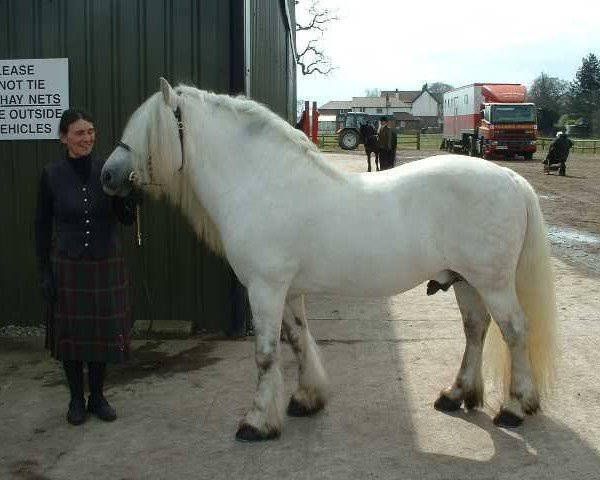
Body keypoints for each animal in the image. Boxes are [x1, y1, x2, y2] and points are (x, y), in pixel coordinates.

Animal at [102, 79, 556, 442]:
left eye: (146, 129)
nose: (107, 175)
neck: (262, 182)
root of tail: (511, 179)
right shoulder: (287, 291)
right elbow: (298, 341)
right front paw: (306, 400)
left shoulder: (265, 289)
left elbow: (265, 355)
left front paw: (256, 423)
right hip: (465, 281)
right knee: (476, 330)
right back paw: (455, 395)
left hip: (493, 283)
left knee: (514, 331)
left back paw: (514, 408)